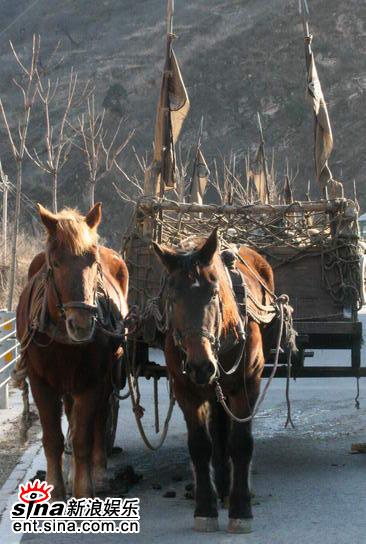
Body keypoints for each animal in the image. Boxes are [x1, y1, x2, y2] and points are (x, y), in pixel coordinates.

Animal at [16, 202, 129, 500]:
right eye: (55, 263)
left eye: (93, 261)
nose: (81, 323)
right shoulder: (40, 381)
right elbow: (53, 438)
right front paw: (56, 488)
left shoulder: (93, 380)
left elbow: (83, 437)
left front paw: (84, 488)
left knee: (99, 419)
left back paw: (97, 471)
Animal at [153, 227, 276, 532]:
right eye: (172, 296)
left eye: (213, 293)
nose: (200, 366)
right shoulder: (185, 389)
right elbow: (200, 445)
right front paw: (205, 508)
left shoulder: (247, 385)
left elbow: (241, 443)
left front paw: (241, 509)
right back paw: (220, 485)